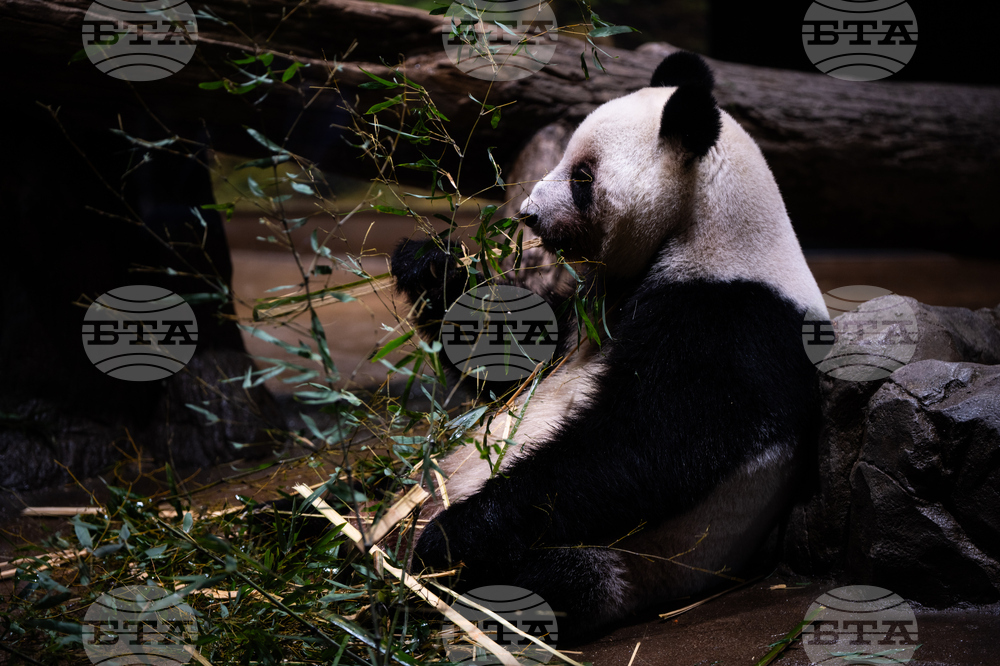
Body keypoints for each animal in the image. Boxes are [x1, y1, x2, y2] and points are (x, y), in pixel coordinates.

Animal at [390, 51, 828, 641]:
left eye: (582, 176)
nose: (528, 213)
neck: (706, 229)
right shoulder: (590, 307)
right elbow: (512, 364)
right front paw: (431, 268)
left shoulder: (732, 320)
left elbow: (644, 447)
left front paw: (450, 537)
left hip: (626, 567)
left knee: (547, 582)